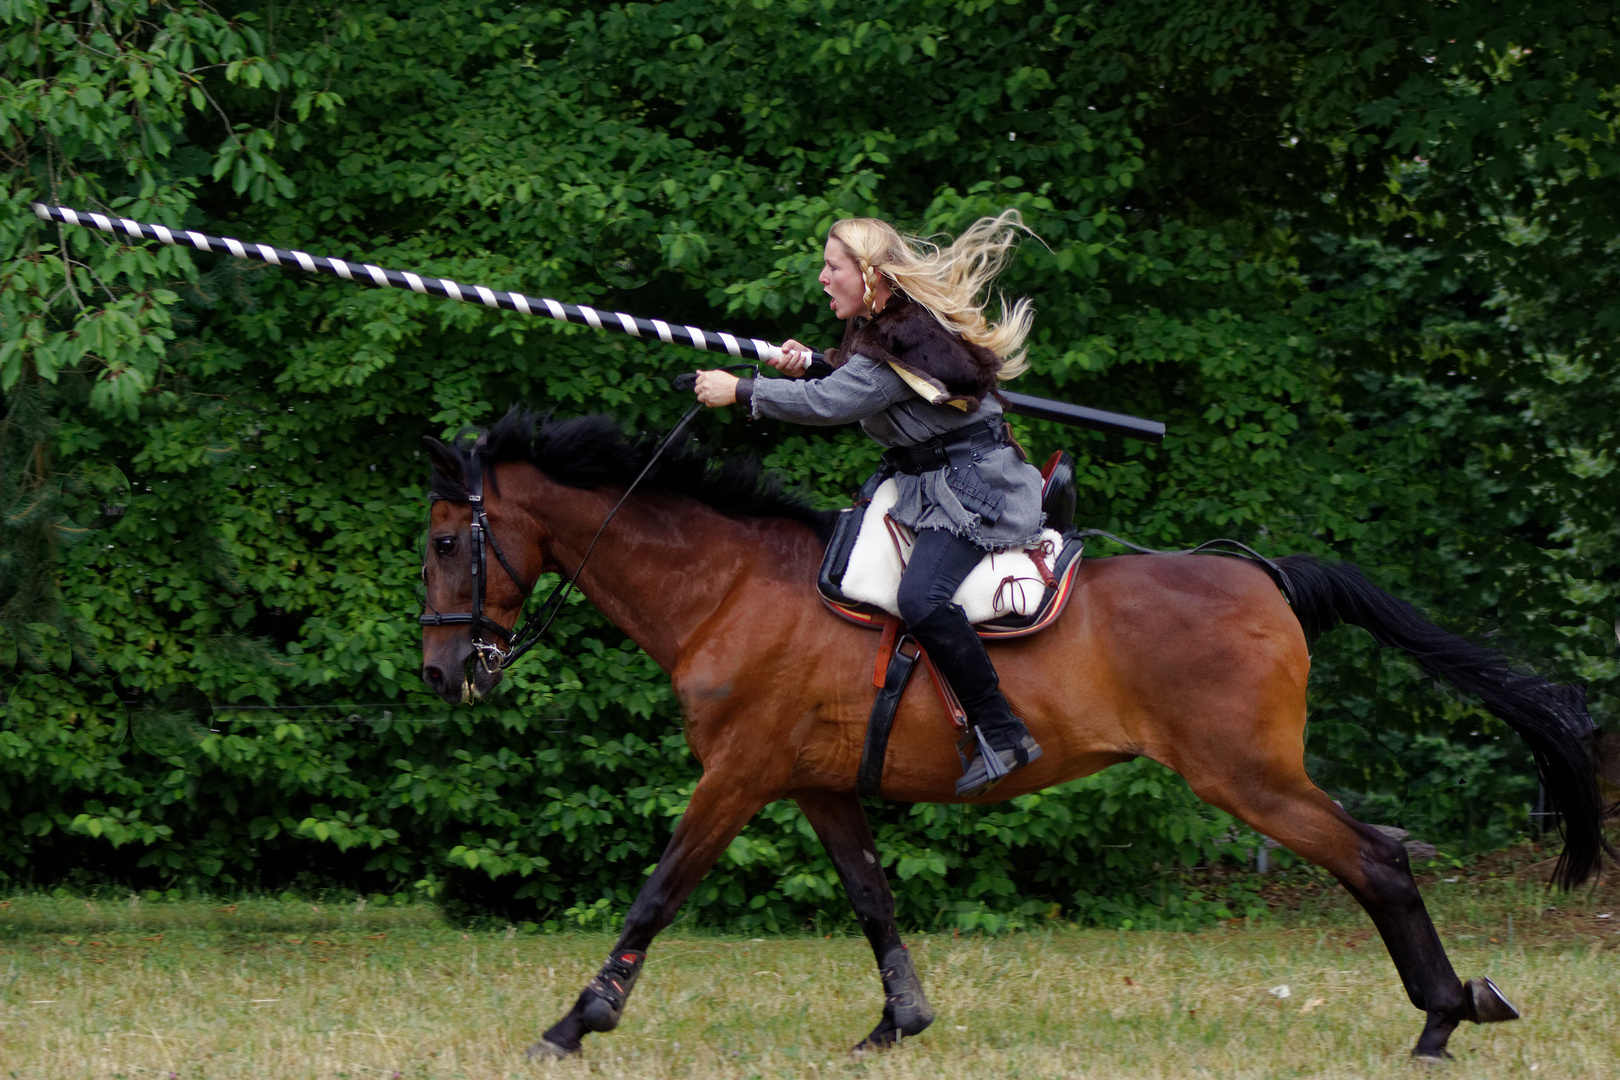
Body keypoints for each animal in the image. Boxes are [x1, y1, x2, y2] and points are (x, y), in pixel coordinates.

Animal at [417, 409, 1607, 1062]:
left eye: (442, 542)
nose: (440, 670)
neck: (728, 587)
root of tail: (1262, 574)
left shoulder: (737, 776)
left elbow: (657, 894)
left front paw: (577, 1021)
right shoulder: (813, 784)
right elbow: (871, 897)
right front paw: (898, 1022)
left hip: (1249, 778)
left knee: (1377, 860)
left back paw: (1441, 1018)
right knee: (1385, 851)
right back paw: (1454, 1006)